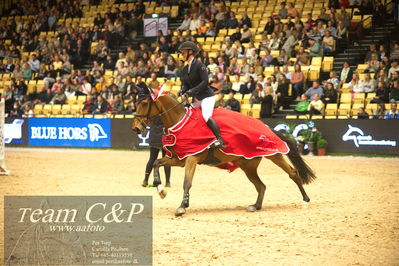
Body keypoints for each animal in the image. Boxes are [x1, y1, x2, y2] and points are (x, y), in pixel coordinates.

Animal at [133, 89, 318, 216]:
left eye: (144, 103)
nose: (135, 128)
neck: (180, 122)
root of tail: (268, 128)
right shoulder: (180, 159)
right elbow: (156, 163)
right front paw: (160, 188)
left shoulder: (192, 158)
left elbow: (187, 182)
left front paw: (182, 207)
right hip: (248, 165)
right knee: (261, 185)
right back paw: (256, 206)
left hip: (274, 154)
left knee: (293, 173)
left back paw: (306, 200)